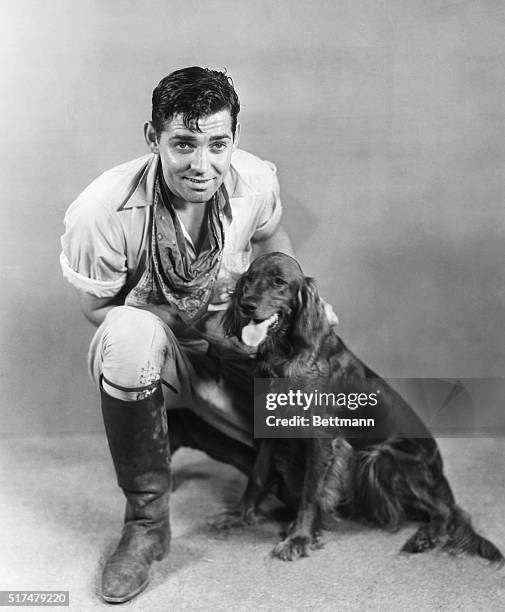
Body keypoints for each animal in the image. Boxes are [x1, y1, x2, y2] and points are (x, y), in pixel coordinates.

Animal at [207, 251, 502, 568]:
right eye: (249, 278)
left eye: (279, 282)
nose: (247, 304)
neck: (284, 355)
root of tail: (439, 470)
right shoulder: (270, 429)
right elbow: (257, 476)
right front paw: (238, 515)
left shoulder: (323, 439)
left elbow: (311, 493)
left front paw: (299, 538)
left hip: (379, 459)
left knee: (450, 511)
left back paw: (425, 537)